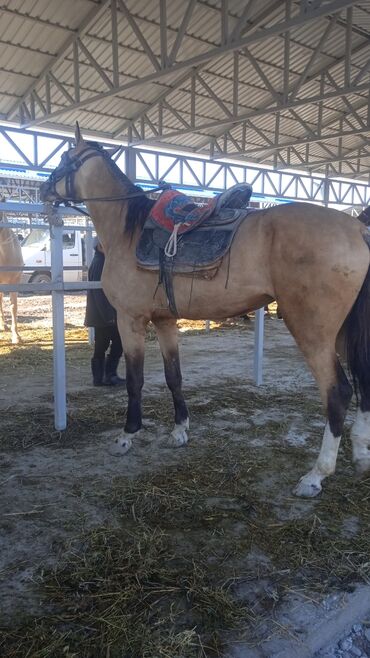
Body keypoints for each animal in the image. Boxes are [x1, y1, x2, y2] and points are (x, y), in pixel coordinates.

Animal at [39, 125, 370, 498]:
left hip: (313, 332)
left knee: (338, 392)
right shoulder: (165, 321)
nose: (42, 189)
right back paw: (361, 454)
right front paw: (180, 430)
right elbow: (174, 376)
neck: (128, 230)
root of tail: (357, 228)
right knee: (364, 384)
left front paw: (128, 434)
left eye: (64, 158)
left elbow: (136, 380)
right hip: (344, 333)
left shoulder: (130, 320)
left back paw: (316, 475)